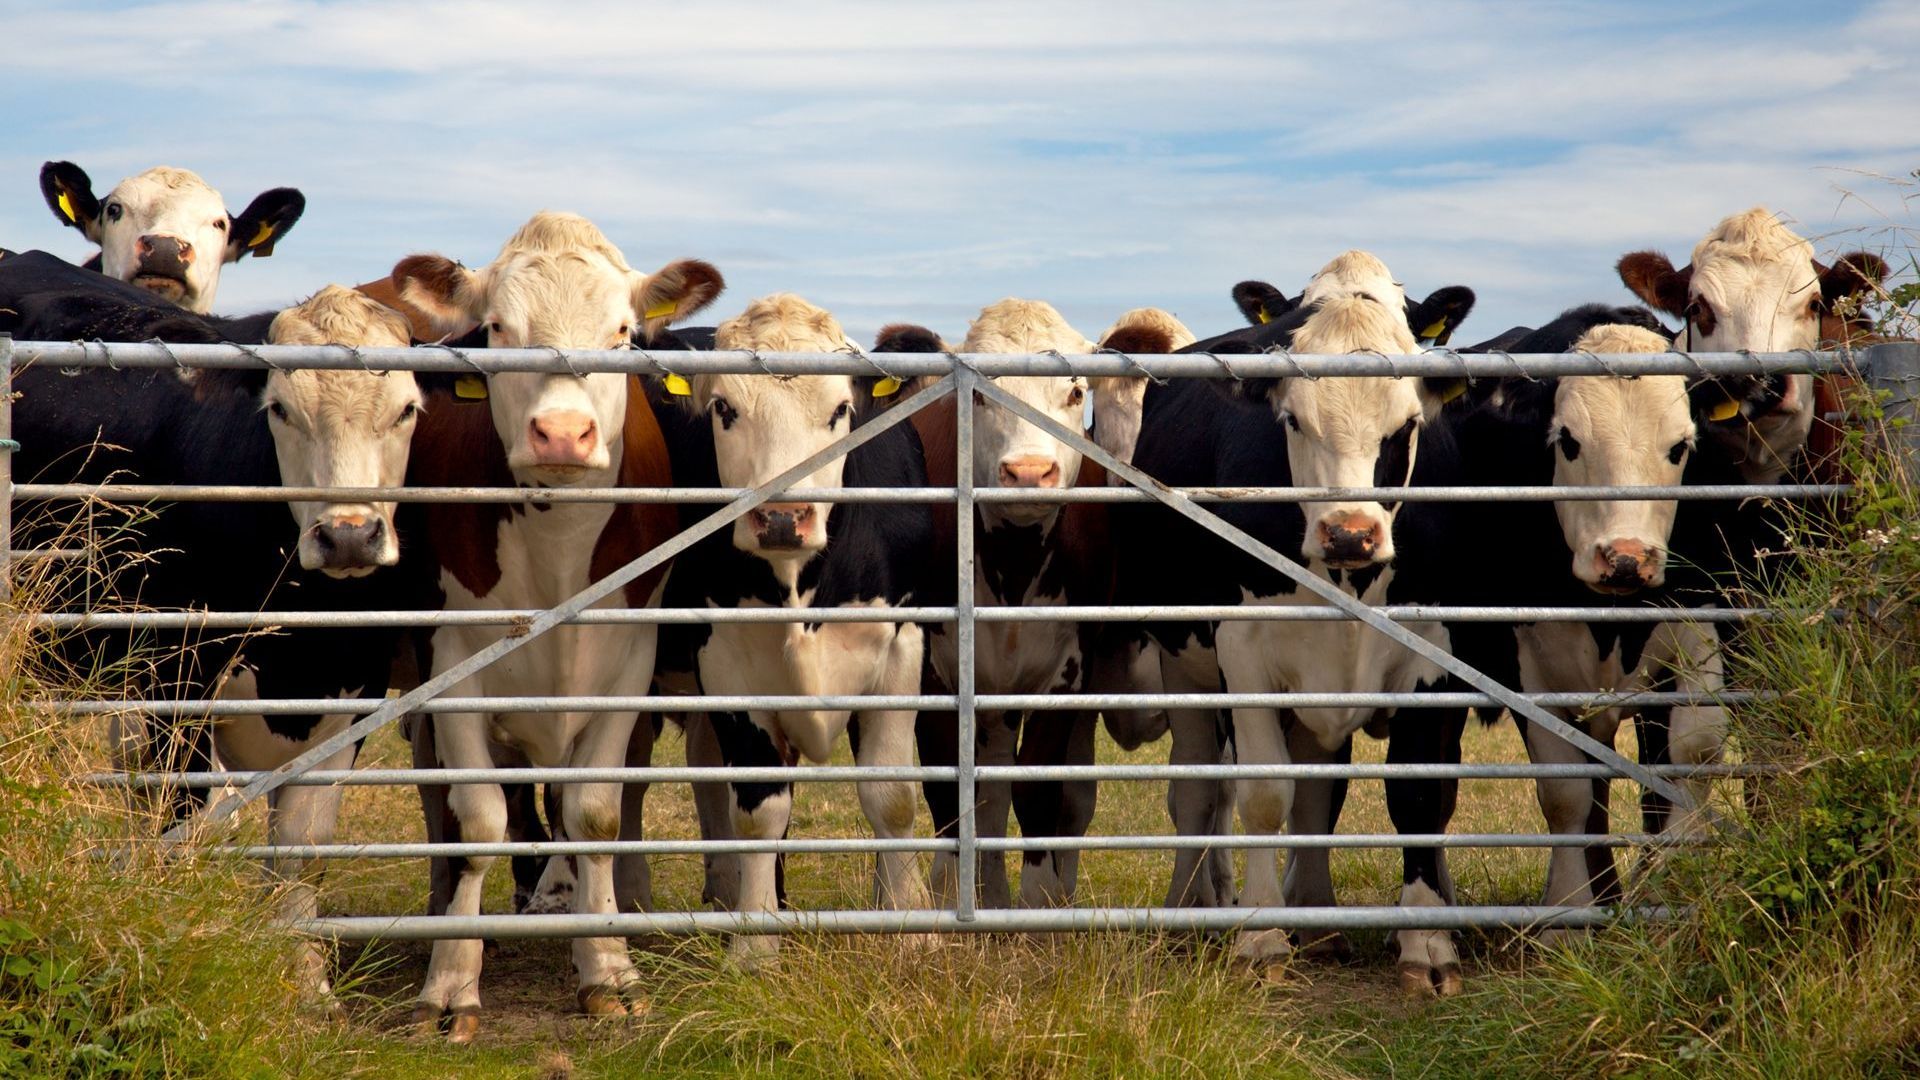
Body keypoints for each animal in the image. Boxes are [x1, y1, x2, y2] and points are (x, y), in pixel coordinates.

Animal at [385, 212, 721, 1037]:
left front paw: (609, 970)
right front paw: (451, 984)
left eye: (623, 332)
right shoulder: (453, 671)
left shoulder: (626, 666)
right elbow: (477, 822)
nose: (563, 434)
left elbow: (595, 814)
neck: (559, 551)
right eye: (500, 329)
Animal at [648, 290, 933, 960]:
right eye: (724, 408)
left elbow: (892, 796)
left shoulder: (902, 646)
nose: (781, 518)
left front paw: (907, 925)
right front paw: (755, 945)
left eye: (841, 410)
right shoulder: (727, 666)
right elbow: (758, 808)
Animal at [875, 299, 1190, 907]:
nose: (1027, 472)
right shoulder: (935, 675)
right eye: (977, 396)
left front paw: (1039, 903)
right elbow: (951, 798)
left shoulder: (1065, 677)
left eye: (1075, 391)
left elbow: (1040, 792)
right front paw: (952, 900)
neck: (1014, 567)